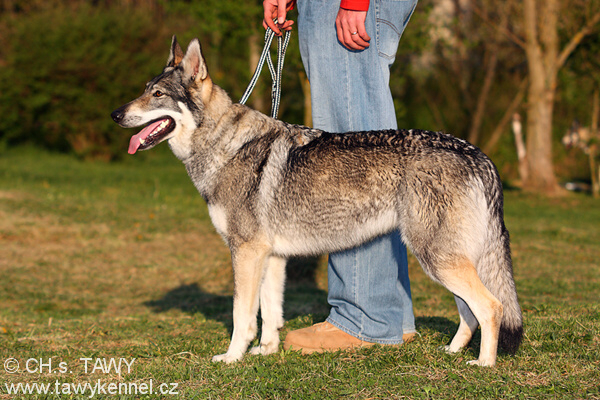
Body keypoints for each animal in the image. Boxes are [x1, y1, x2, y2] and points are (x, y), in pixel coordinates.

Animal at [110, 36, 524, 366]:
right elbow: (270, 313)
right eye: (144, 89)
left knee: (492, 308)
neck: (224, 146)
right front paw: (266, 352)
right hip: (446, 261)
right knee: (470, 312)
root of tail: (479, 155)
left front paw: (232, 358)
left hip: (438, 259)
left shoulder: (245, 253)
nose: (115, 114)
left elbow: (241, 316)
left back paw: (483, 365)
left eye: (157, 95)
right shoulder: (272, 257)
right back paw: (452, 353)